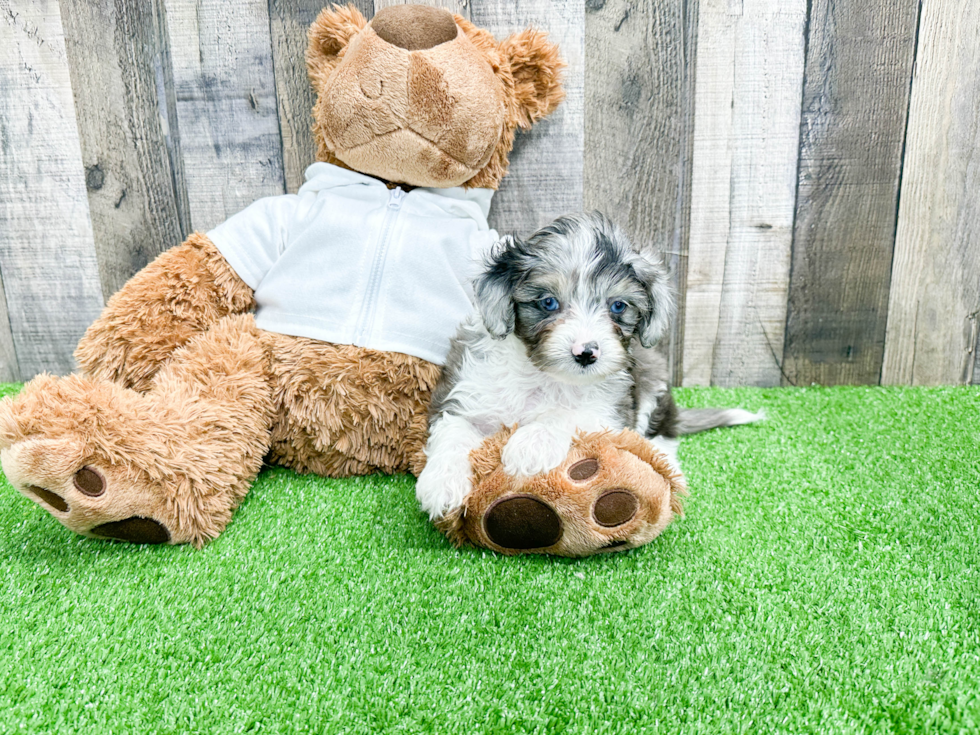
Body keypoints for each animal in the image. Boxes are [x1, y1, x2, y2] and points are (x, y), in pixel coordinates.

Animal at [414, 210, 756, 520]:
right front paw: (442, 483)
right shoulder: (464, 395)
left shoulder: (611, 411)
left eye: (618, 306)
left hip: (652, 380)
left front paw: (532, 443)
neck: (543, 375)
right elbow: (453, 431)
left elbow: (567, 414)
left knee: (662, 437)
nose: (586, 353)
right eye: (548, 302)